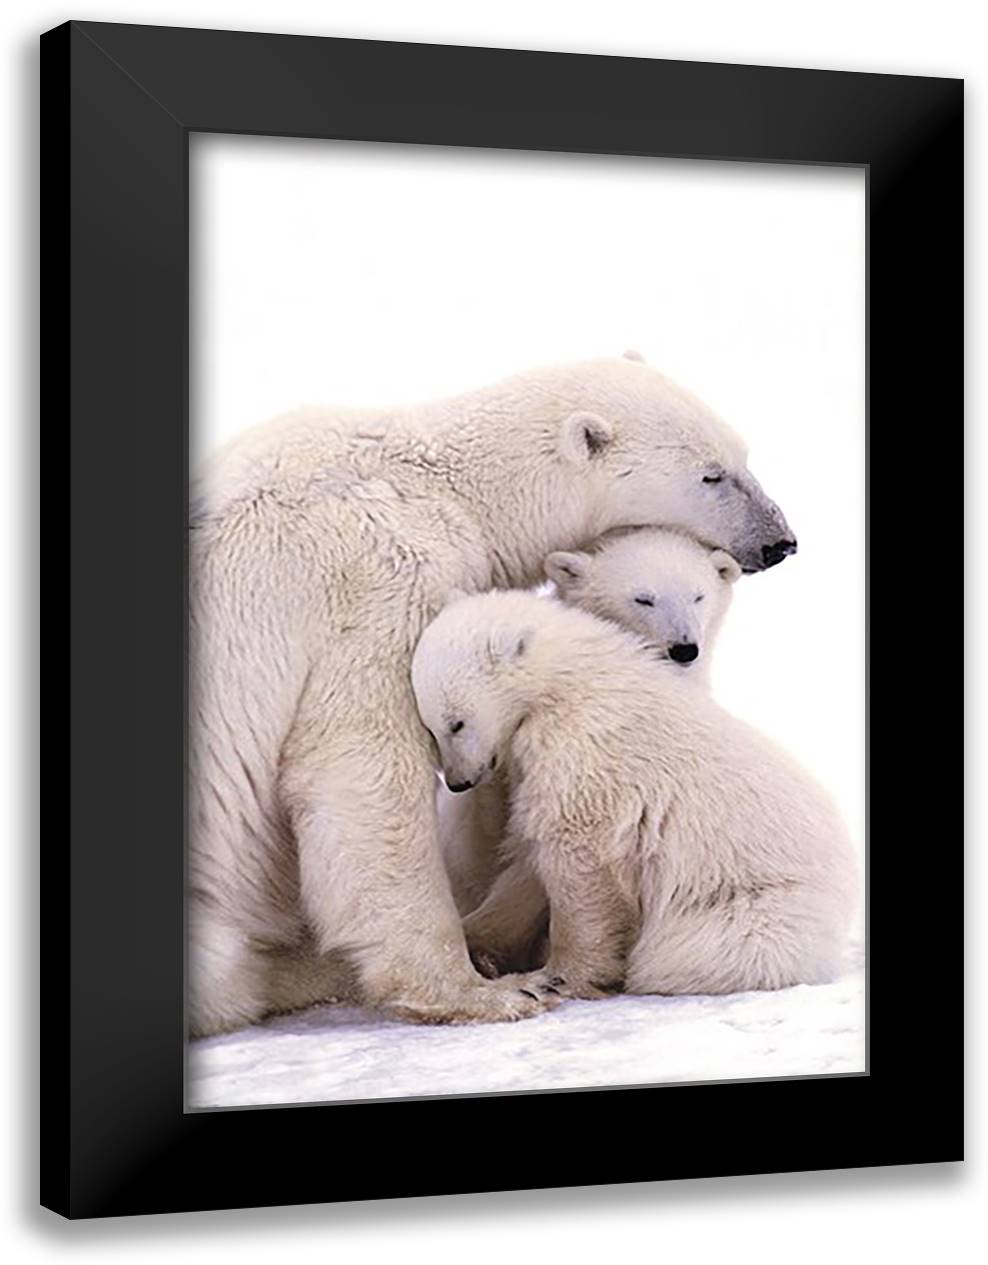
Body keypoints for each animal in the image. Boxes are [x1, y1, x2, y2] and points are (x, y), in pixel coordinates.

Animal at [412, 589, 857, 1000]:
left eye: (456, 723)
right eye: (430, 726)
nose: (458, 782)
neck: (566, 681)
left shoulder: (584, 752)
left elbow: (578, 861)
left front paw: (560, 976)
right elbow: (527, 862)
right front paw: (477, 942)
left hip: (757, 903)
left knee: (695, 952)